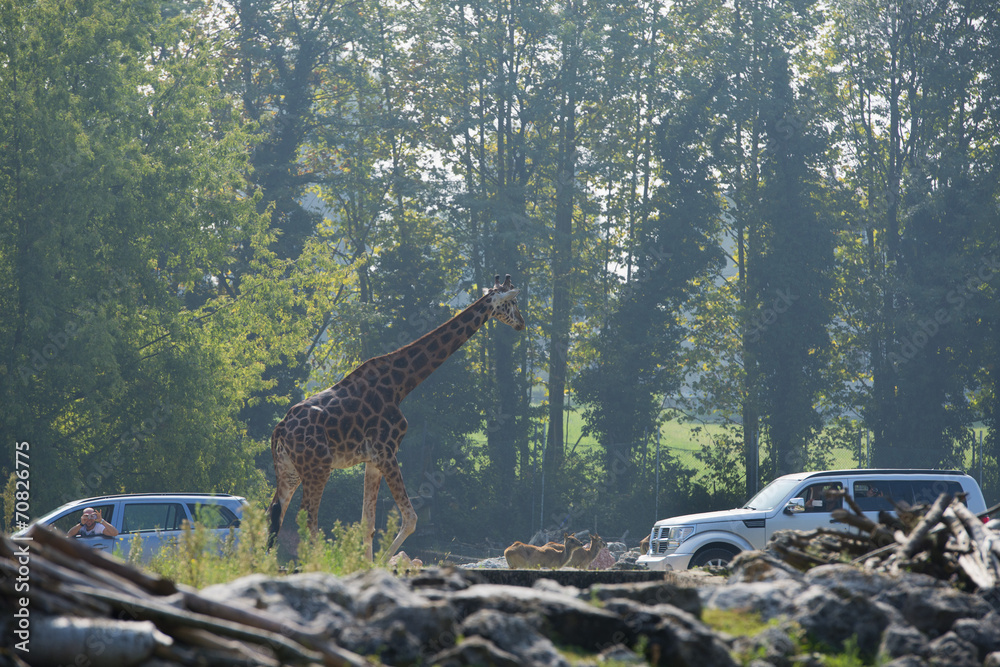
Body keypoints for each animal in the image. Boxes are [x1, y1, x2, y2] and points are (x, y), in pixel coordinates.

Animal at [266, 274, 532, 560]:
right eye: (513, 302)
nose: (521, 323)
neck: (399, 385)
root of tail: (279, 430)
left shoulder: (371, 459)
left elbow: (368, 523)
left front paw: (368, 562)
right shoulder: (387, 451)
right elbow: (411, 518)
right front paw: (380, 561)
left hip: (288, 470)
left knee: (273, 513)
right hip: (318, 468)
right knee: (307, 519)